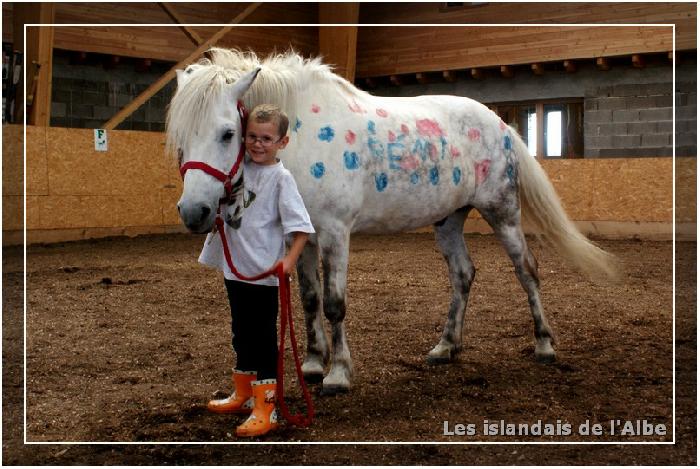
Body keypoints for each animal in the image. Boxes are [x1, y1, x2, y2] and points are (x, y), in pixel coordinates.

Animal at [165, 47, 616, 394]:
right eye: (180, 138)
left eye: (228, 133)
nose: (194, 212)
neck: (302, 135)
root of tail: (500, 123)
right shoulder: (301, 235)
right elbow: (309, 300)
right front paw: (312, 364)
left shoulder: (335, 232)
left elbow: (334, 303)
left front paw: (338, 374)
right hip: (448, 220)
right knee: (463, 274)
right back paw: (445, 347)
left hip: (502, 211)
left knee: (527, 271)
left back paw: (544, 345)